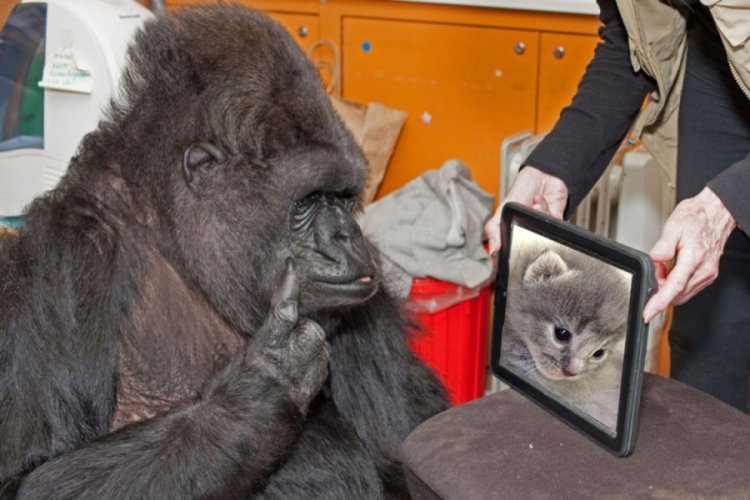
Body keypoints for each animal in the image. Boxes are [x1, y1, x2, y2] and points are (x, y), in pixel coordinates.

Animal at [0, 4, 446, 500]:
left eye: (345, 197)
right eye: (310, 200)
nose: (349, 236)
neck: (169, 234)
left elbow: (412, 439)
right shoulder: (66, 258)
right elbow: (29, 477)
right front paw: (263, 383)